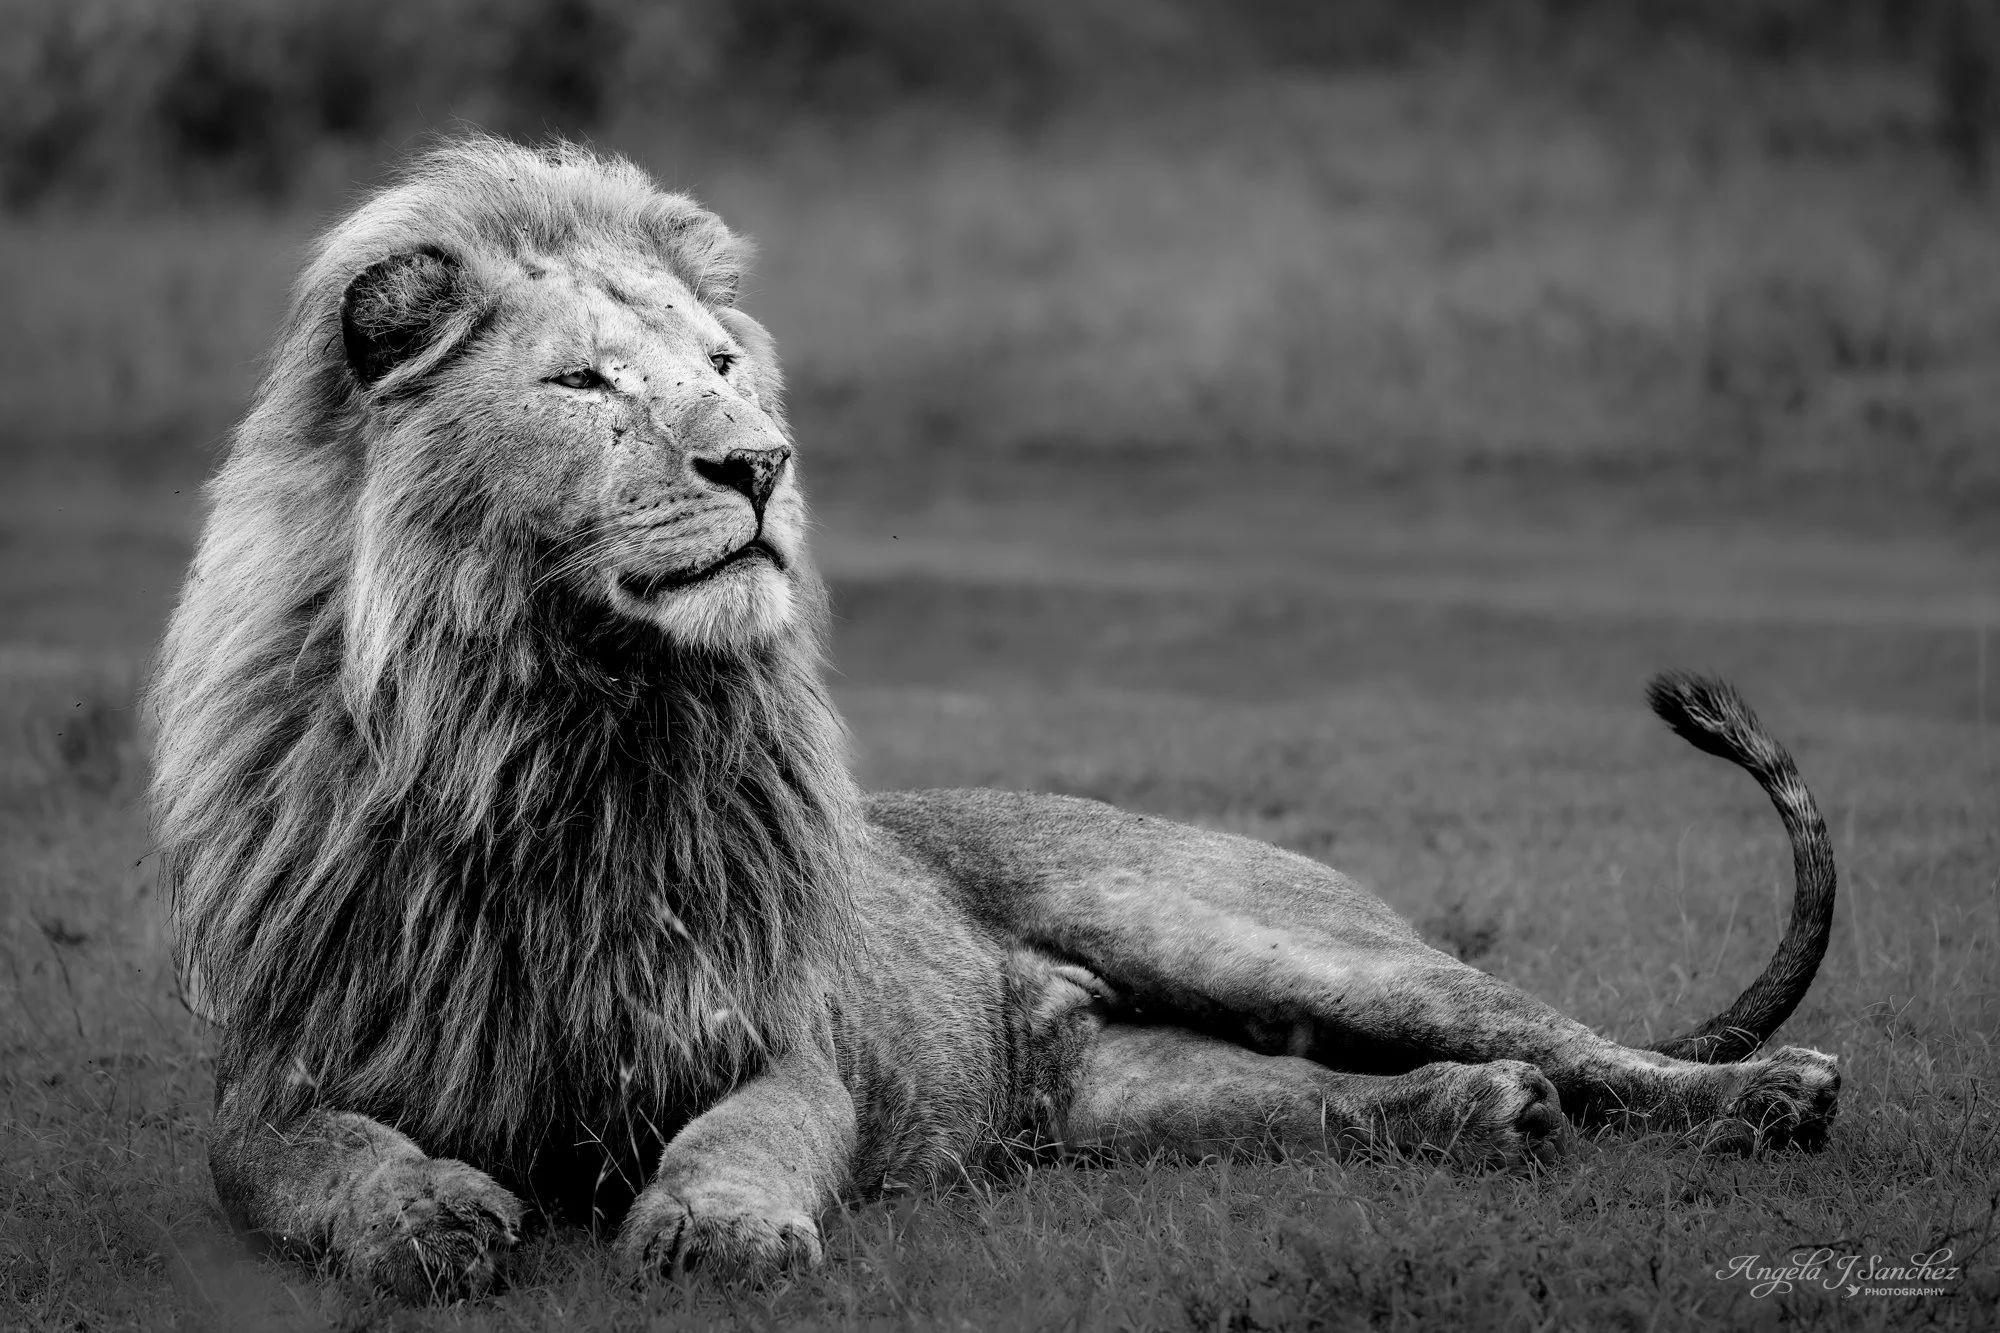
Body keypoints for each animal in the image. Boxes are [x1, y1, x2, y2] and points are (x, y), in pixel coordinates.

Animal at [149, 136, 1840, 1303]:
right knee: (1333, 1098)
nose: (758, 464)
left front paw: (716, 1225)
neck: (563, 726)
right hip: (1128, 1098)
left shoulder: (781, 1042)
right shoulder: (274, 1075)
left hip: (1263, 936)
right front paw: (426, 1213)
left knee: (1585, 1043)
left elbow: (743, 1134)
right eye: (581, 384)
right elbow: (306, 1159)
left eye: (721, 365)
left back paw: (1765, 1098)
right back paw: (1482, 1115)